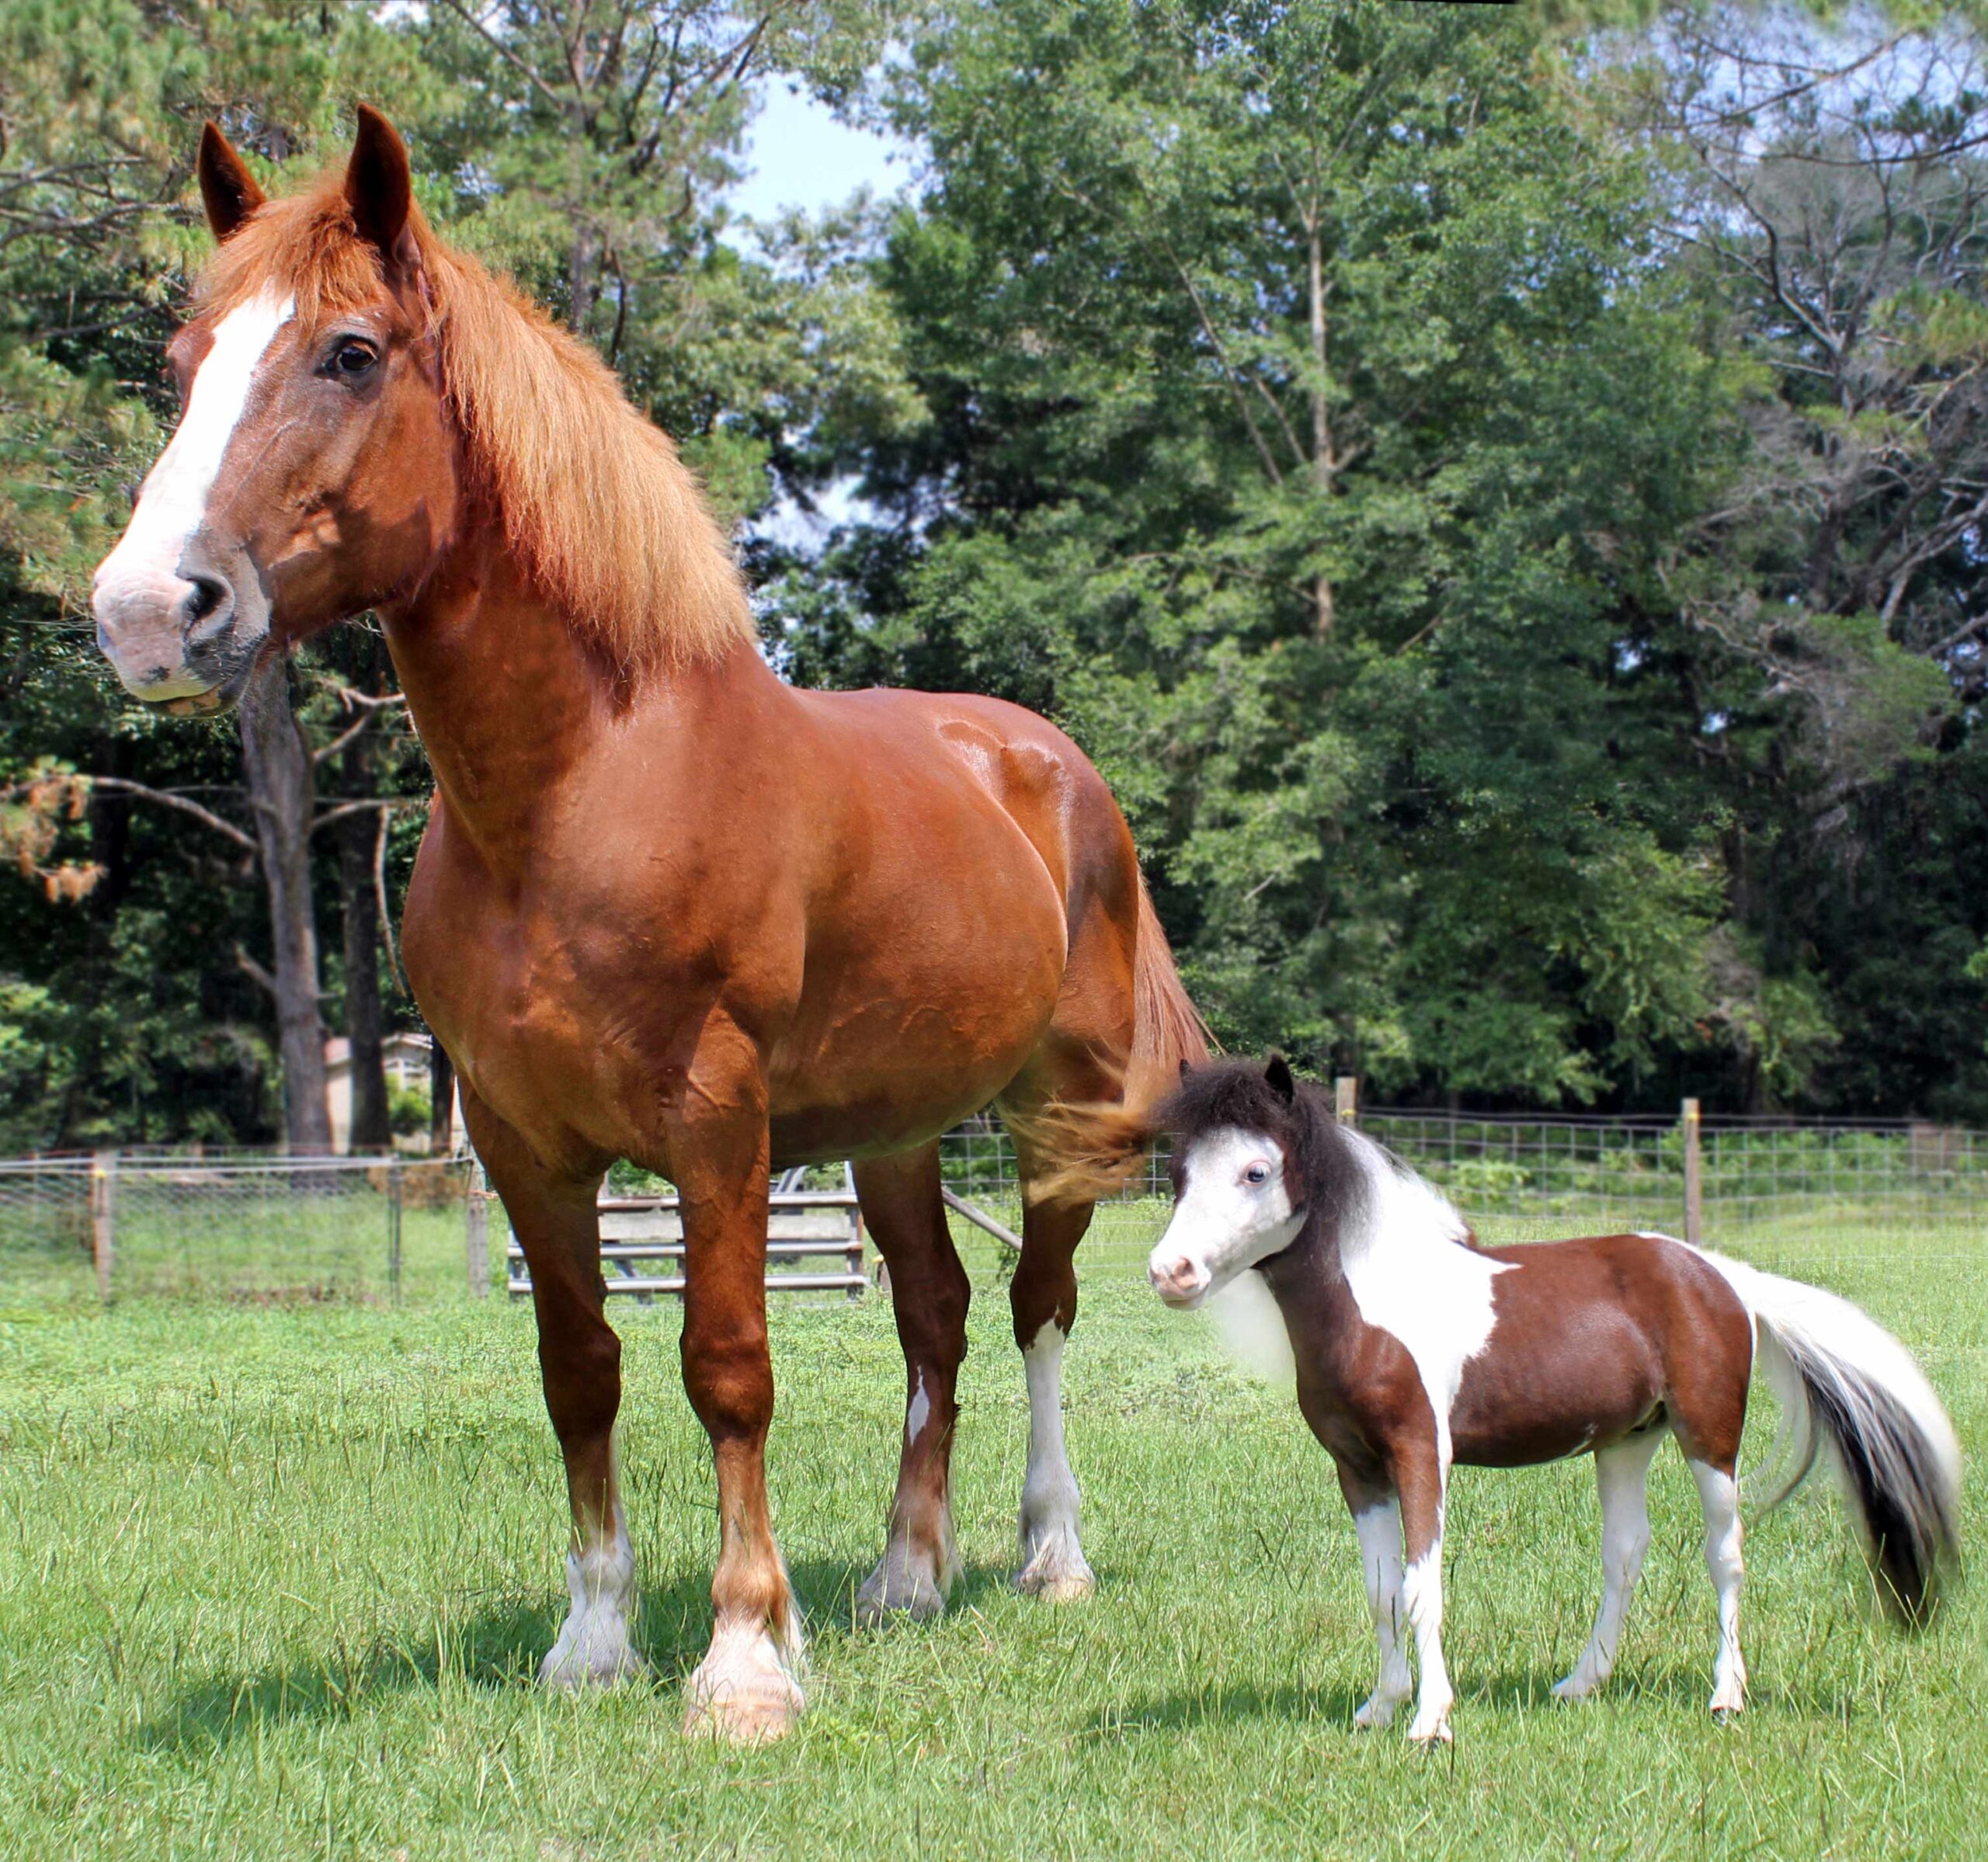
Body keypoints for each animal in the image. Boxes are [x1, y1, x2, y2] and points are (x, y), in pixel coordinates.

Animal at [89, 109, 1208, 1732]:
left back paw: (1049, 1553)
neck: (582, 792)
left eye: (351, 353)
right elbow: (582, 1369)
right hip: (895, 1128)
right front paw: (594, 1640)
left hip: (1058, 1104)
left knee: (1039, 1303)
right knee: (934, 1312)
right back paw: (904, 1575)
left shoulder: (717, 1125)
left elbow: (726, 1364)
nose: (145, 614)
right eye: (186, 359)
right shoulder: (522, 1142)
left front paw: (743, 1661)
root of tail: (1050, 764)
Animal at [1137, 1057, 1956, 1740]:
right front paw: (1379, 1708)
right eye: (1179, 1171)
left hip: (1709, 1439)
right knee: (1625, 1553)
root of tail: (1721, 1274)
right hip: (1626, 1442)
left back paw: (1726, 1697)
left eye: (1255, 1171)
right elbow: (1380, 1590)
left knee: (1725, 1556)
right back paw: (1581, 1684)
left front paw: (1430, 1723)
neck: (1375, 1302)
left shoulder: (1419, 1454)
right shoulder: (1357, 1468)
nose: (1170, 1273)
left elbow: (1422, 1584)